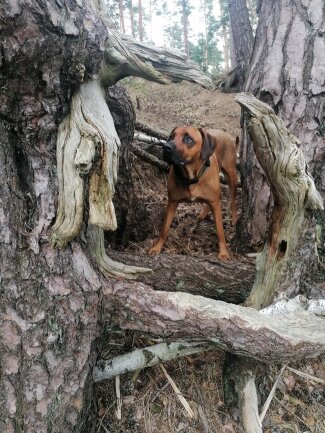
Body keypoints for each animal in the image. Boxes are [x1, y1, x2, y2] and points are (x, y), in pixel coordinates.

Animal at [148, 125, 237, 260]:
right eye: (172, 136)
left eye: (188, 139)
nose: (166, 147)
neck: (191, 177)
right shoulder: (172, 202)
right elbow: (164, 229)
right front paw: (157, 247)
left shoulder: (216, 204)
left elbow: (220, 231)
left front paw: (223, 252)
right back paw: (203, 214)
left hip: (231, 175)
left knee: (233, 198)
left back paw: (234, 218)